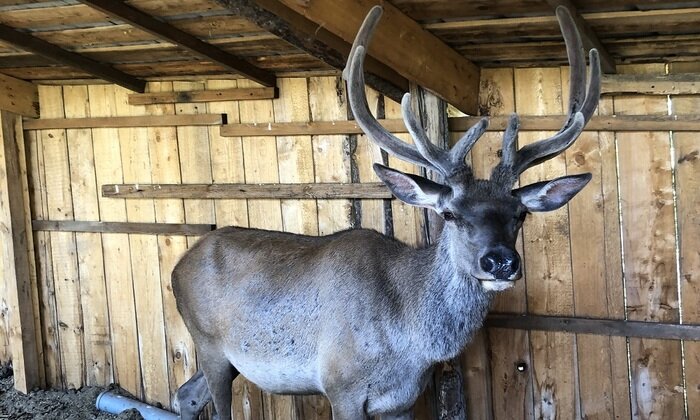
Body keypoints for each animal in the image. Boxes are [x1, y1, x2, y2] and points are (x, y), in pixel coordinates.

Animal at [171, 5, 600, 420]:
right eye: (450, 214)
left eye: (520, 214)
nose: (500, 262)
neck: (409, 344)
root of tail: (177, 267)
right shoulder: (340, 386)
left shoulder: (404, 399)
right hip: (209, 343)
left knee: (185, 395)